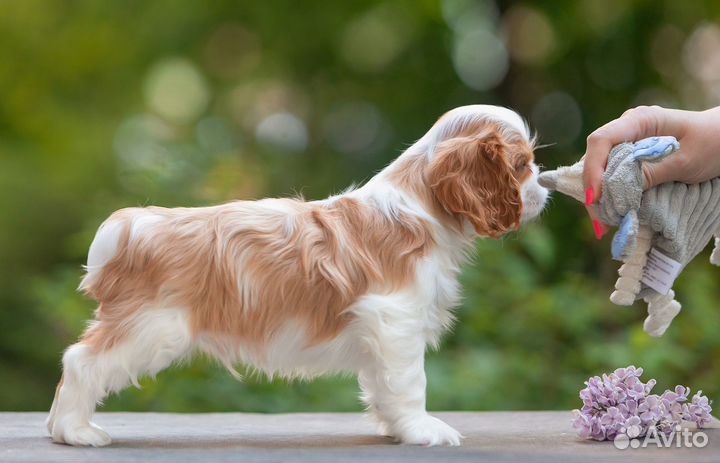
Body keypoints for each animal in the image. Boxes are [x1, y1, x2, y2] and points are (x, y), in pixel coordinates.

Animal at [46, 104, 544, 446]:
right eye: (521, 165)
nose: (543, 188)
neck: (419, 204)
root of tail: (129, 227)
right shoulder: (396, 320)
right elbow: (409, 382)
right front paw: (421, 429)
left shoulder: (381, 333)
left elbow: (382, 385)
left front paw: (394, 428)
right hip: (152, 328)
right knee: (81, 361)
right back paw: (74, 431)